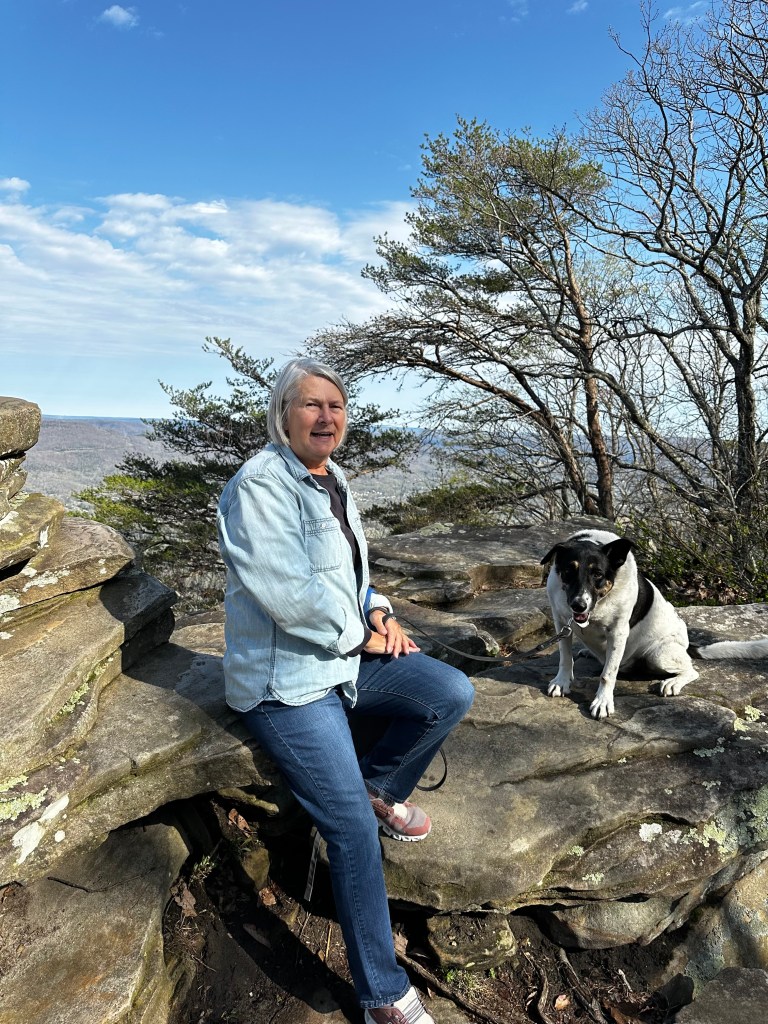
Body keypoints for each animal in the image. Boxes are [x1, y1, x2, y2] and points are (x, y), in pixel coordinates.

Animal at [540, 528, 768, 719]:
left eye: (597, 574)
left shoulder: (618, 632)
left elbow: (608, 674)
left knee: (692, 670)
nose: (578, 605)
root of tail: (688, 646)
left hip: (659, 654)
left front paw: (603, 701)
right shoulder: (561, 622)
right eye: (568, 571)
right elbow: (565, 657)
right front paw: (562, 682)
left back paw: (673, 682)